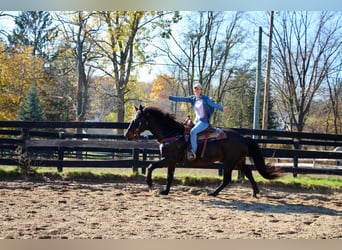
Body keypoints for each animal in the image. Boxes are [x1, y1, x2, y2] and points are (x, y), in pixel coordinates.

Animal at [125, 104, 280, 196]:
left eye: (138, 119)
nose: (127, 134)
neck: (172, 134)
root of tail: (243, 137)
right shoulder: (171, 162)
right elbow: (169, 176)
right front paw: (165, 191)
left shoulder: (169, 159)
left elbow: (151, 166)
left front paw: (151, 185)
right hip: (237, 161)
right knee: (248, 172)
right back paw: (255, 192)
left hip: (229, 162)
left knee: (227, 179)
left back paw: (213, 193)